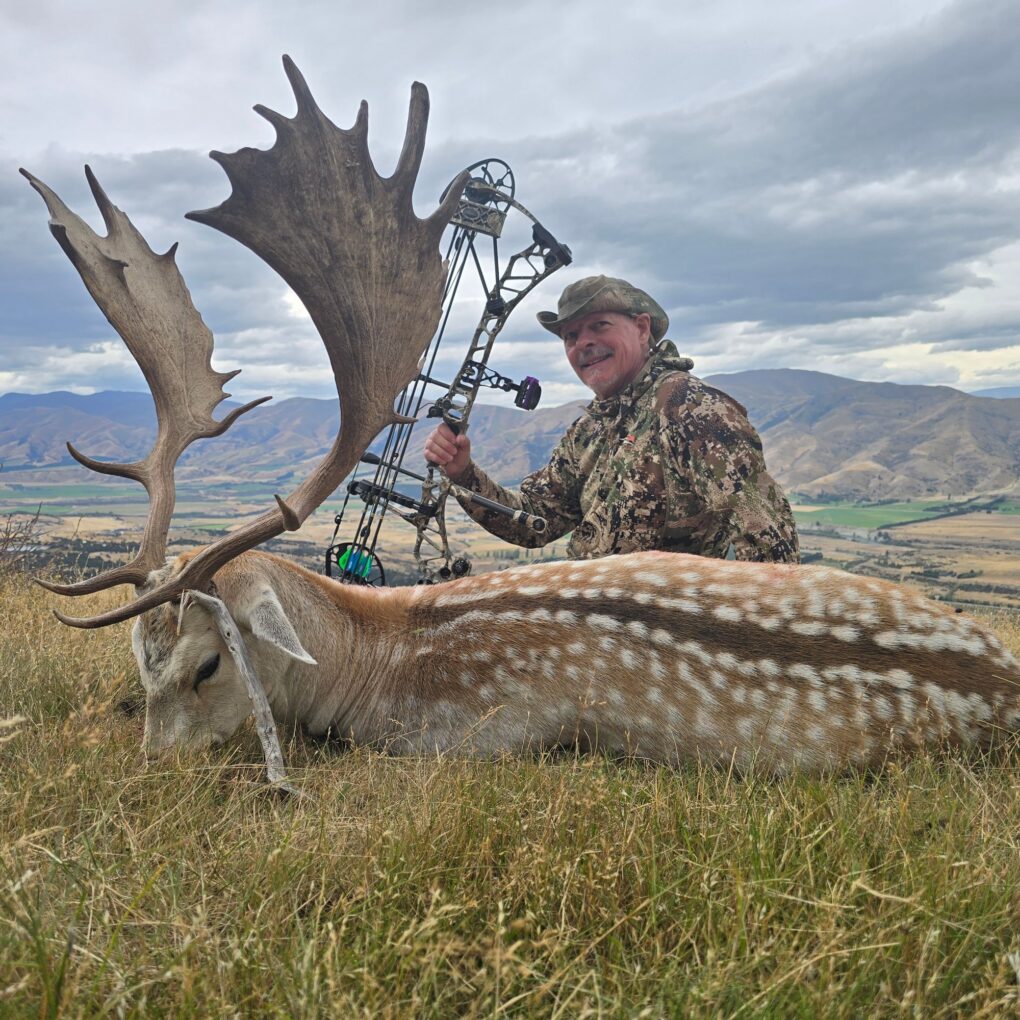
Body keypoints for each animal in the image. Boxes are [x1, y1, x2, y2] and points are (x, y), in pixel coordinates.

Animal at [23, 58, 1020, 789]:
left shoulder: (481, 735)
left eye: (207, 666)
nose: (153, 769)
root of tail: (1006, 677)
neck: (378, 656)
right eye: (139, 664)